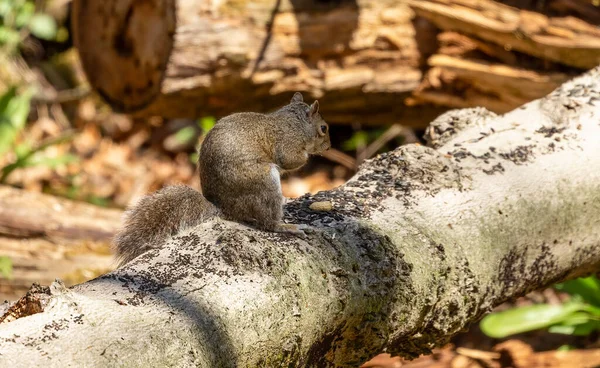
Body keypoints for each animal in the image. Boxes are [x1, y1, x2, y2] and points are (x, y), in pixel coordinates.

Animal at [112, 92, 332, 264]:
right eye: (324, 128)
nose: (329, 147)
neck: (294, 122)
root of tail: (224, 208)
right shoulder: (288, 143)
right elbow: (291, 160)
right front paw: (310, 156)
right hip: (265, 182)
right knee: (267, 223)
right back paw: (287, 226)